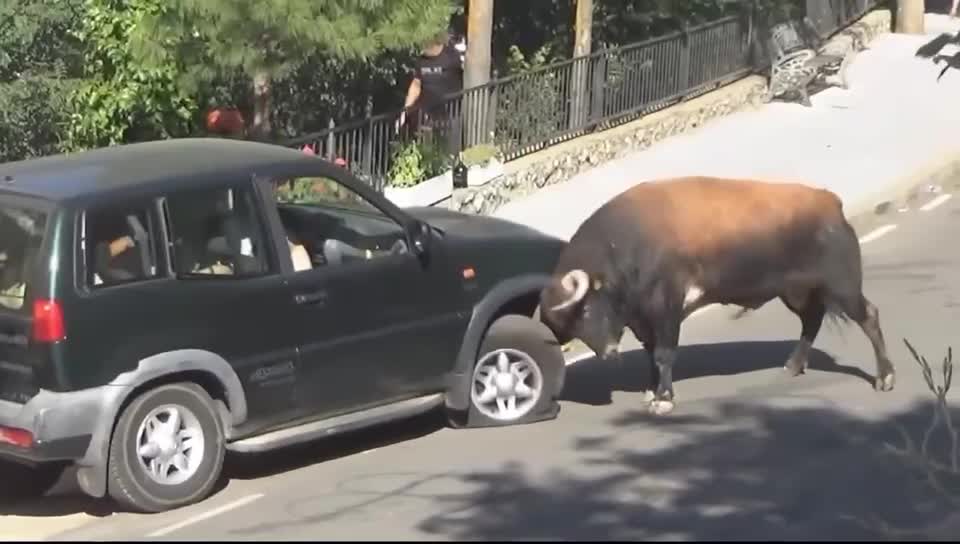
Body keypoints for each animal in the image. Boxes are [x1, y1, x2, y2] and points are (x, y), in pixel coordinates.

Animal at [536, 176, 896, 414]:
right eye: (569, 325)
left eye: (584, 310)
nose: (609, 353)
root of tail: (830, 202)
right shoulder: (644, 319)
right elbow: (652, 353)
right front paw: (652, 392)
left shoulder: (666, 309)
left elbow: (664, 354)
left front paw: (664, 399)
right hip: (797, 293)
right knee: (812, 321)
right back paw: (792, 366)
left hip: (843, 288)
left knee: (869, 317)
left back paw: (885, 378)